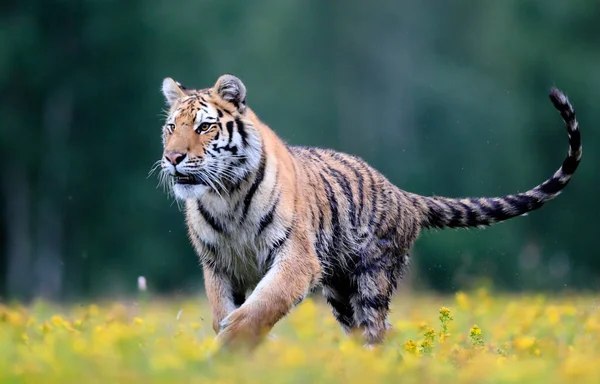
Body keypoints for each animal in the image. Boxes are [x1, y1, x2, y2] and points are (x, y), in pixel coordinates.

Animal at [156, 73, 580, 350]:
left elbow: (264, 303)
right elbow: (220, 310)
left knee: (379, 332)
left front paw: (234, 340)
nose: (172, 158)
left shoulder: (295, 257)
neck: (225, 195)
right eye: (171, 127)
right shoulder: (218, 265)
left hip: (370, 281)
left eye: (205, 127)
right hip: (342, 291)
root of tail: (403, 195)